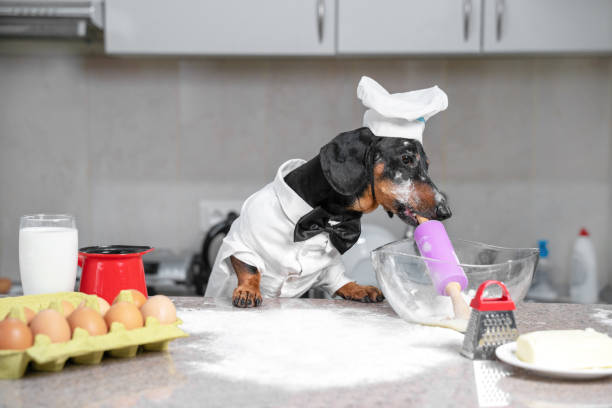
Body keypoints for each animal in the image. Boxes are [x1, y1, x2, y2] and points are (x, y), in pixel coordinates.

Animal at [210, 126, 450, 306]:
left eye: (427, 165)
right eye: (406, 159)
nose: (446, 211)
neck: (325, 218)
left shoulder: (330, 264)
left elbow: (338, 279)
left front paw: (358, 288)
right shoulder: (239, 242)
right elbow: (249, 268)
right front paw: (248, 290)